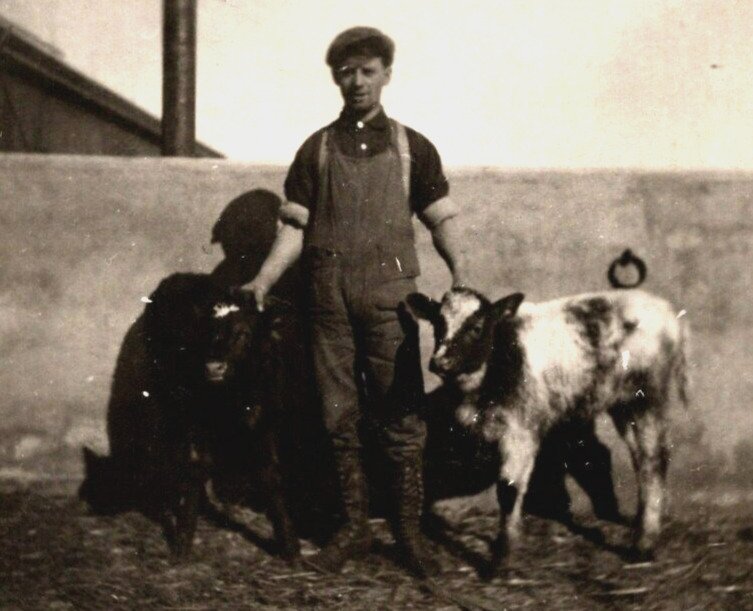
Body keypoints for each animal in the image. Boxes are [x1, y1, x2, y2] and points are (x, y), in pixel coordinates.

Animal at [408, 286, 692, 568]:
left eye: (477, 327)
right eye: (437, 325)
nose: (440, 362)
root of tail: (669, 313)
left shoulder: (520, 429)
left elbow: (508, 491)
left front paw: (502, 558)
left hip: (646, 396)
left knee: (654, 461)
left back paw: (644, 545)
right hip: (623, 402)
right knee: (636, 459)